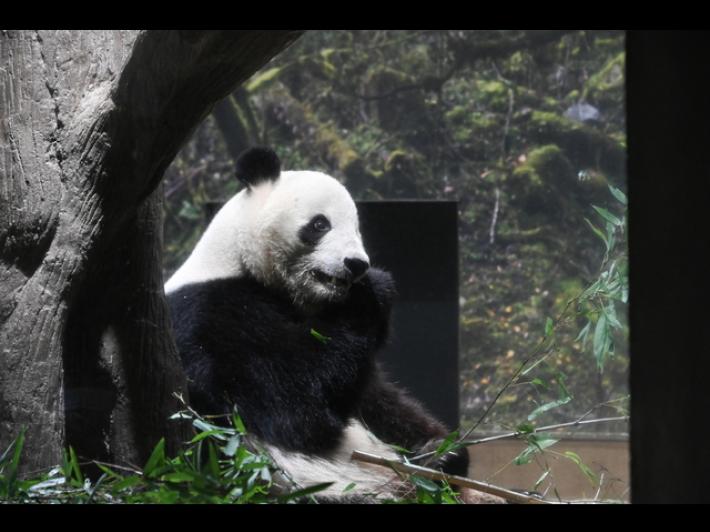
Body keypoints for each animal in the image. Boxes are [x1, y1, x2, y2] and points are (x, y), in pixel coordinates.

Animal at [165, 147, 469, 502]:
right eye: (320, 223)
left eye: (357, 229)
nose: (356, 264)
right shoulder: (210, 320)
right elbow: (295, 409)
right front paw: (372, 290)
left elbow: (377, 398)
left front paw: (440, 448)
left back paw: (439, 460)